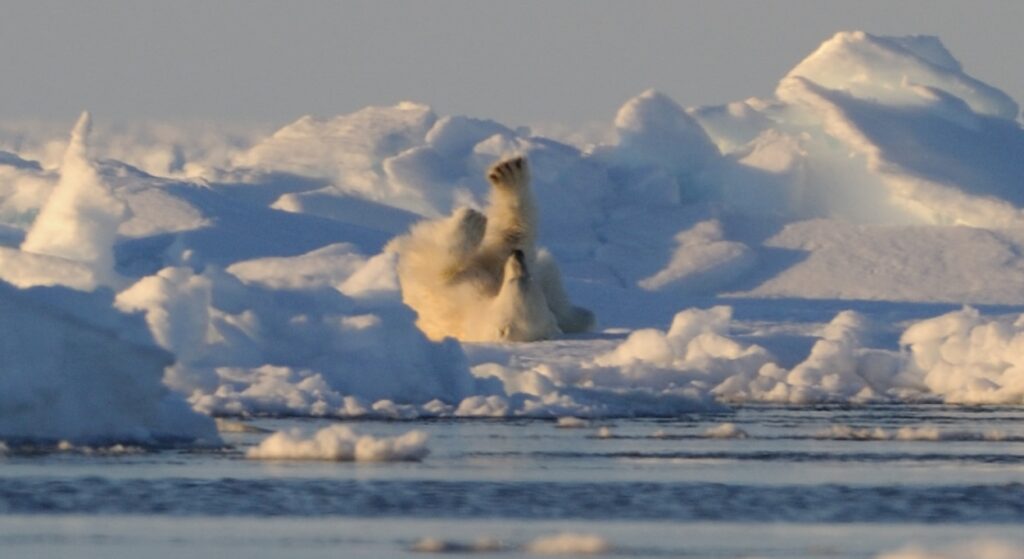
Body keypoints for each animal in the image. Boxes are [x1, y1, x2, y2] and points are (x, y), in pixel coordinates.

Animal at [391, 154, 598, 341]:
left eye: (519, 280)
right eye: (528, 280)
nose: (517, 254)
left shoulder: (459, 294)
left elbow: (440, 270)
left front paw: (473, 220)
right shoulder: (494, 272)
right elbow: (512, 236)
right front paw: (509, 171)